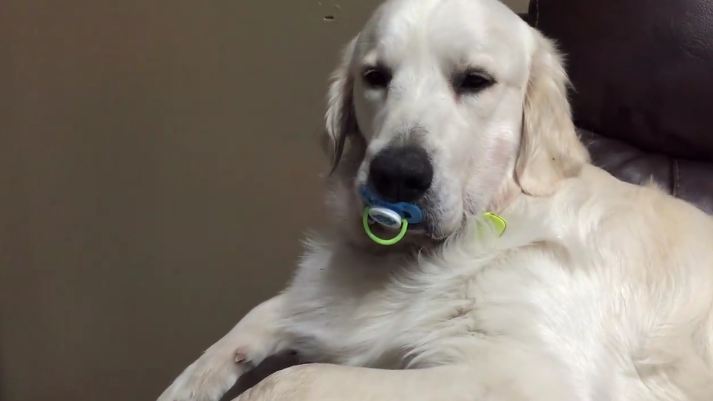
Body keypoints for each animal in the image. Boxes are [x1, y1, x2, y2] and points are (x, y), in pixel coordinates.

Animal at [159, 0, 712, 398]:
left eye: (475, 81)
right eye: (375, 77)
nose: (397, 175)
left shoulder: (527, 374)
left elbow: (291, 379)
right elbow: (265, 316)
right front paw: (189, 383)